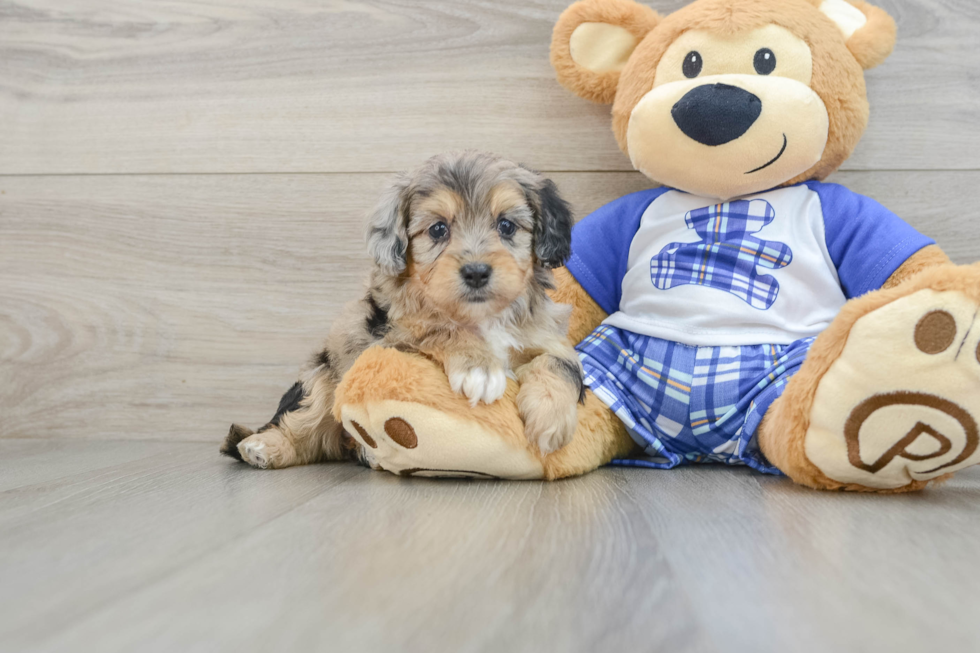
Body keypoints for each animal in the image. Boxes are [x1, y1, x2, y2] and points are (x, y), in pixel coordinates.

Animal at [222, 152, 580, 468]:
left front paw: (551, 420)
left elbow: (561, 363)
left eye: (506, 226)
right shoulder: (387, 344)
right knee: (303, 424)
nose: (477, 272)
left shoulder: (547, 334)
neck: (481, 317)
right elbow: (436, 329)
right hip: (324, 375)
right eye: (438, 229)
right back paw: (263, 447)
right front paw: (478, 367)